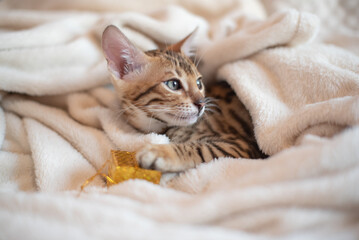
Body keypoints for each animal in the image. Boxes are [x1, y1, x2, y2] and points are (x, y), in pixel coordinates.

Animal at [102, 25, 266, 172]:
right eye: (173, 84)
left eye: (199, 83)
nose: (201, 103)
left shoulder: (240, 144)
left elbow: (201, 149)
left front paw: (161, 152)